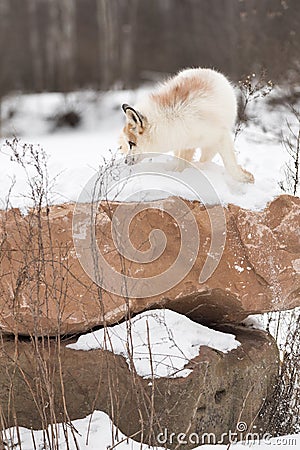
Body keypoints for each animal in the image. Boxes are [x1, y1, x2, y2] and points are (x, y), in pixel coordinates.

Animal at [119, 67, 253, 183]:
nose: (125, 161)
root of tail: (205, 69)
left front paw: (243, 178)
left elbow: (230, 164)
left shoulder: (218, 138)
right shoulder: (184, 144)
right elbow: (181, 165)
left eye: (131, 143)